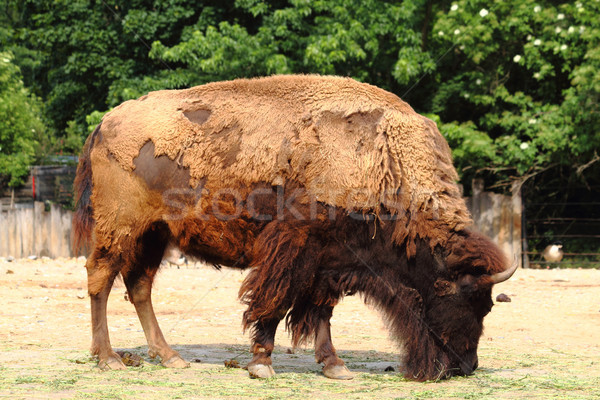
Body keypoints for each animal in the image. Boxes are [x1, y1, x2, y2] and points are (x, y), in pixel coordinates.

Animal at [74, 74, 516, 382]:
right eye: (469, 300)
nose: (465, 366)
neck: (383, 161)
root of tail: (106, 122)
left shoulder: (331, 261)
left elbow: (320, 310)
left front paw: (335, 366)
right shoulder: (294, 249)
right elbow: (275, 300)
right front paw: (261, 364)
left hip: (155, 234)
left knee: (139, 286)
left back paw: (170, 358)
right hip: (121, 227)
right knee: (101, 279)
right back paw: (109, 359)